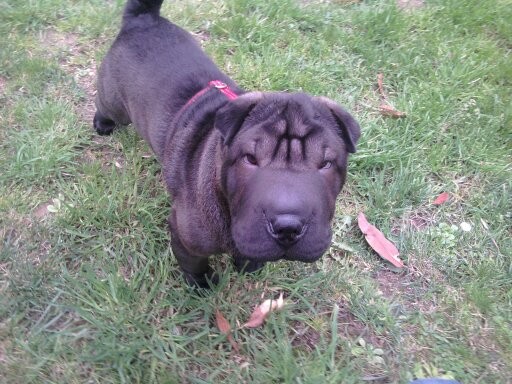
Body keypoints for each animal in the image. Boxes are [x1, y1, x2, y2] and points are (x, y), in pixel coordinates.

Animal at [95, 0, 360, 288]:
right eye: (250, 159)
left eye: (326, 164)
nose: (288, 226)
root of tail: (143, 18)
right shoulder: (186, 236)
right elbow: (194, 264)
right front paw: (202, 284)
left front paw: (249, 263)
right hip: (115, 102)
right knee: (105, 106)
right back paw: (102, 124)